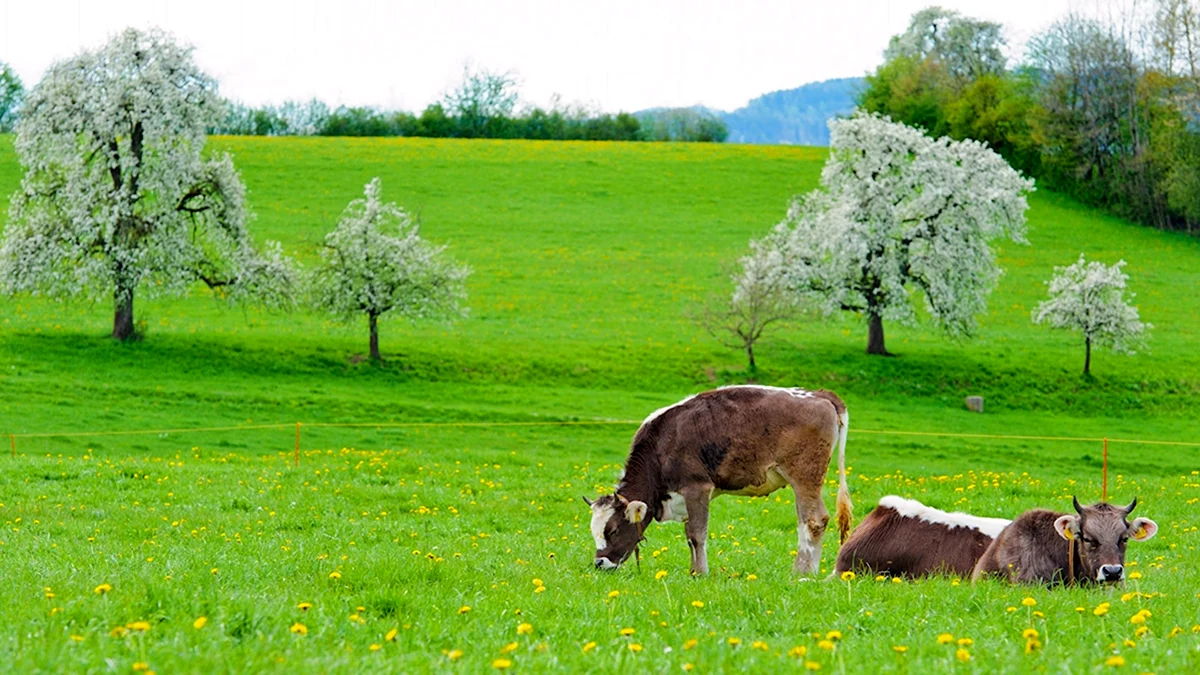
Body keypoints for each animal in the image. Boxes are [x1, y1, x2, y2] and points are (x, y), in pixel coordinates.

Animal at [584, 385, 851, 576]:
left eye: (613, 530)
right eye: (594, 530)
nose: (599, 563)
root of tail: (819, 395)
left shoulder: (697, 487)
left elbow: (696, 534)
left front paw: (700, 573)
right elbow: (689, 536)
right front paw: (693, 570)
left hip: (805, 477)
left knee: (813, 520)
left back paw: (802, 572)